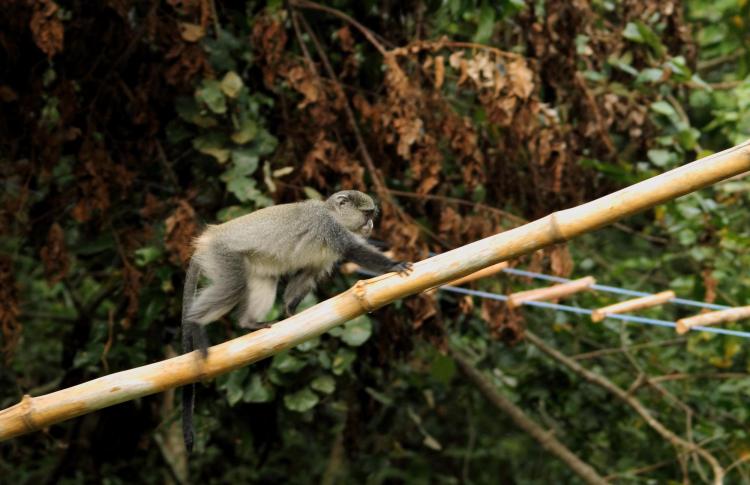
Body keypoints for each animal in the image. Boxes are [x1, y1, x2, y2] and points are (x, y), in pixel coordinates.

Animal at [183, 189, 418, 450]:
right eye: (366, 214)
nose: (371, 224)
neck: (330, 212)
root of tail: (210, 236)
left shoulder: (322, 257)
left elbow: (306, 274)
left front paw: (289, 311)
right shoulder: (331, 230)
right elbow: (354, 250)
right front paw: (394, 265)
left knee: (266, 279)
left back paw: (248, 322)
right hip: (223, 255)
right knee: (232, 285)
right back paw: (195, 321)